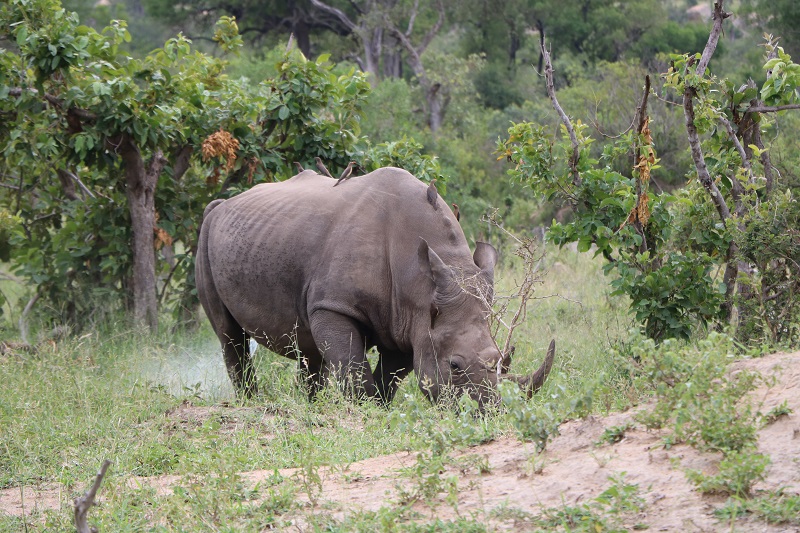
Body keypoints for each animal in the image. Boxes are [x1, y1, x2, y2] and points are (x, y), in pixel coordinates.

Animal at [197, 168, 552, 406]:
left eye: (499, 359)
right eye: (455, 366)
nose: (488, 413)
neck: (420, 283)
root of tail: (227, 202)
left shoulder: (407, 323)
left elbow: (388, 380)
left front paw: (378, 410)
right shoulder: (333, 305)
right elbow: (355, 372)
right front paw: (364, 413)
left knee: (307, 349)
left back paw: (310, 406)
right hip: (208, 229)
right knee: (229, 335)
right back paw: (250, 402)